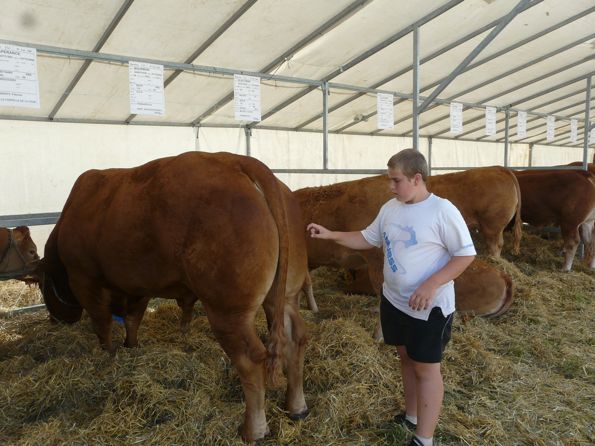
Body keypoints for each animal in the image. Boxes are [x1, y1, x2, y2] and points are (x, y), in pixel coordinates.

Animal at [39, 151, 309, 443]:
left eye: (43, 288)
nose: (55, 319)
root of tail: (235, 160)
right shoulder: (138, 286)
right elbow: (133, 318)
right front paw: (130, 346)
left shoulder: (84, 278)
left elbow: (102, 323)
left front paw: (107, 354)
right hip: (285, 296)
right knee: (295, 339)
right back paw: (297, 408)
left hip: (228, 310)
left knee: (251, 358)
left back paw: (254, 430)